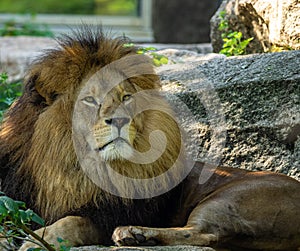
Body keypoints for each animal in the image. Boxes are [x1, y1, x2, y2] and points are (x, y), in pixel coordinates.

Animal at [0, 28, 298, 251]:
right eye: (90, 99)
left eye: (125, 97)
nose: (121, 120)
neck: (72, 168)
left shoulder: (111, 214)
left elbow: (73, 221)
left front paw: (37, 240)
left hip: (228, 198)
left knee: (203, 234)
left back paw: (134, 234)